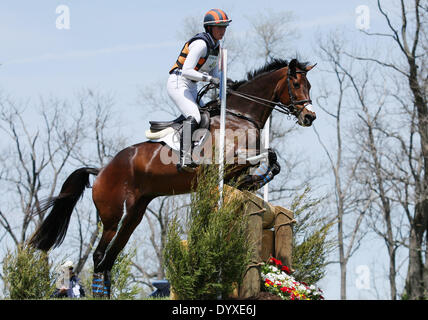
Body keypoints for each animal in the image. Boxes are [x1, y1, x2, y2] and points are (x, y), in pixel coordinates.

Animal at [29, 58, 314, 298]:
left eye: (309, 85)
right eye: (296, 84)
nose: (309, 117)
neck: (238, 115)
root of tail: (100, 171)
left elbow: (270, 163)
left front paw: (252, 183)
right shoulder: (226, 161)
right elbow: (266, 155)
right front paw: (254, 180)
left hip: (134, 216)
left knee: (109, 258)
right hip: (112, 216)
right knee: (100, 257)